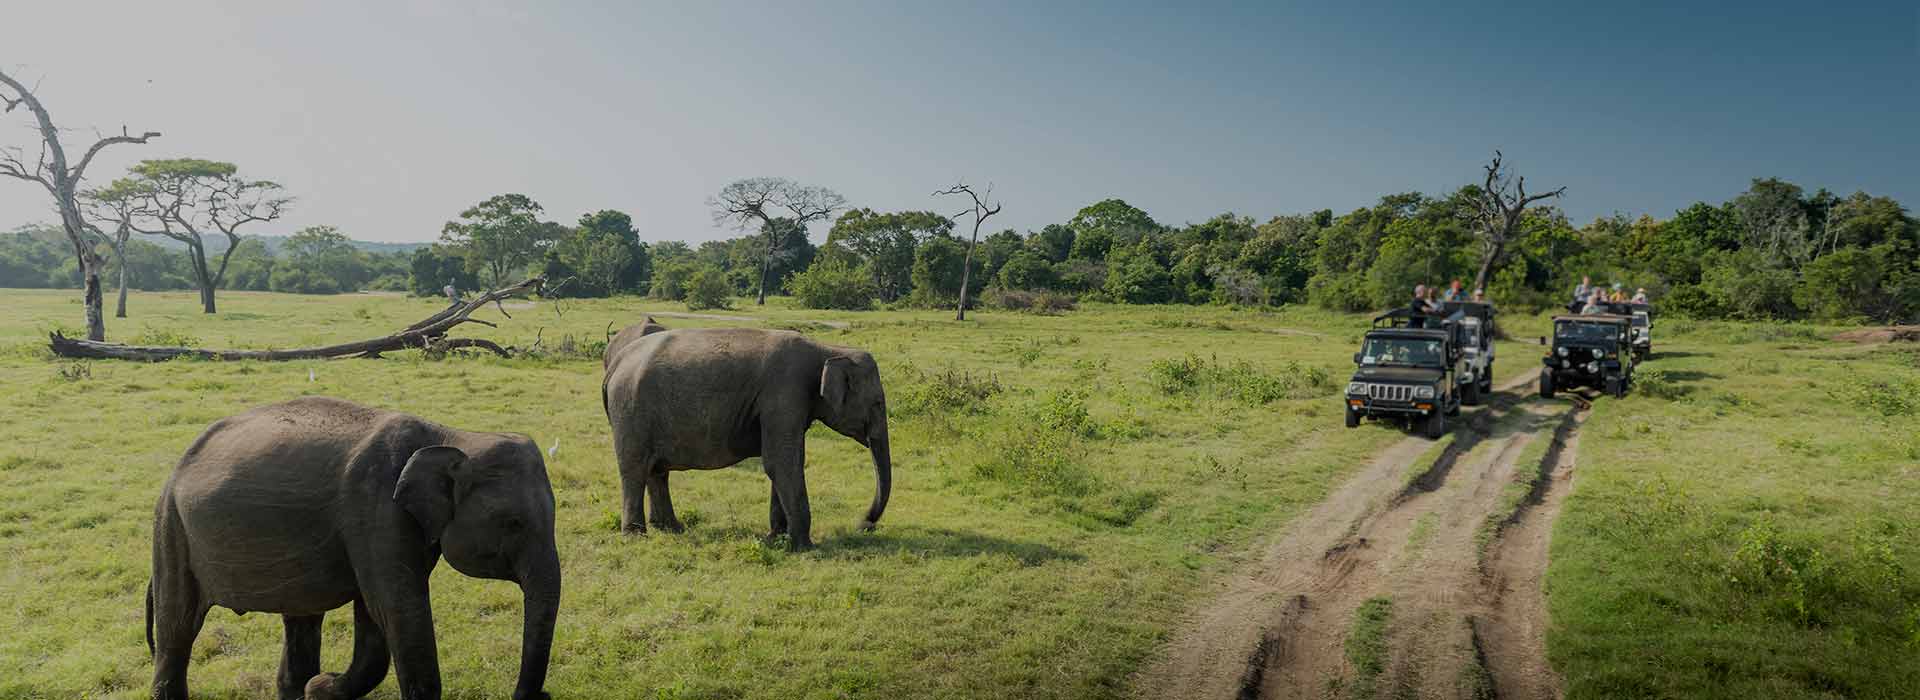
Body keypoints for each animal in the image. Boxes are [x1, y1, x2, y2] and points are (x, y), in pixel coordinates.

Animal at [148, 395, 556, 698]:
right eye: (514, 523)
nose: (540, 695)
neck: (451, 434)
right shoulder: (376, 508)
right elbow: (395, 607)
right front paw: (322, 687)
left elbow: (374, 612)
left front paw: (319, 689)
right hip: (171, 528)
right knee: (177, 624)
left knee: (301, 616)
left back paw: (297, 688)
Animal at [602, 318, 894, 552]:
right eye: (878, 403)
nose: (864, 524)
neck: (828, 349)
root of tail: (616, 362)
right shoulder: (784, 394)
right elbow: (782, 463)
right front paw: (804, 547)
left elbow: (785, 462)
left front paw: (775, 538)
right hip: (630, 409)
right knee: (635, 470)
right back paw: (636, 536)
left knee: (657, 471)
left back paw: (671, 528)